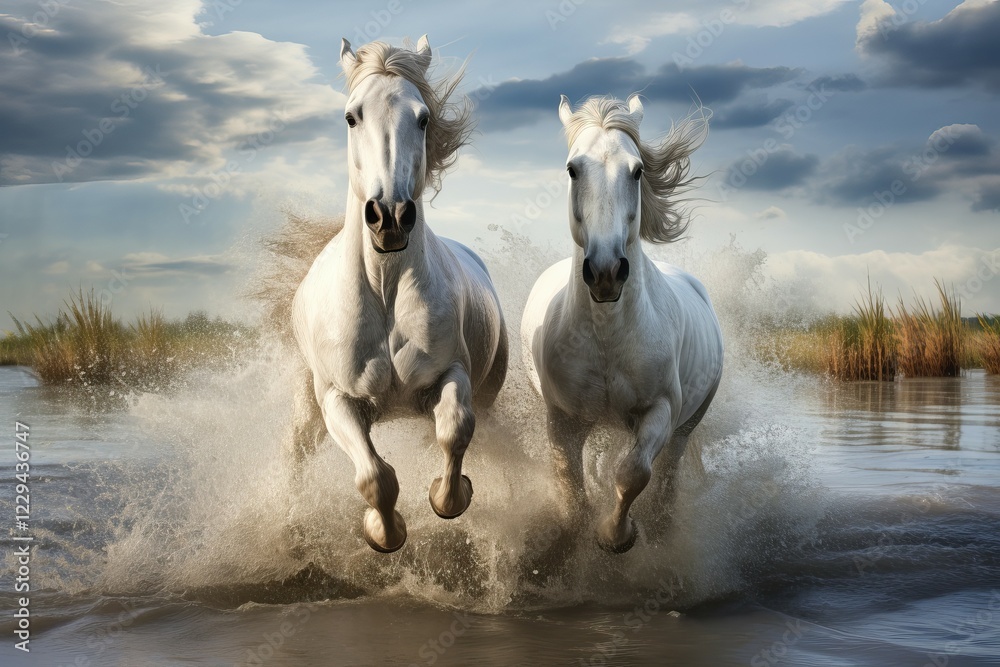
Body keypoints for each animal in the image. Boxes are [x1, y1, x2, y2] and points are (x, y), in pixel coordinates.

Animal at [286, 36, 507, 553]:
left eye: (423, 117)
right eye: (351, 116)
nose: (389, 216)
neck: (385, 292)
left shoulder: (450, 373)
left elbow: (454, 430)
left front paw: (450, 496)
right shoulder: (338, 400)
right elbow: (374, 477)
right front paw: (384, 533)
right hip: (307, 408)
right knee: (295, 454)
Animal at [520, 94, 723, 554]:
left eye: (637, 170)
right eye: (572, 168)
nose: (607, 271)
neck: (607, 338)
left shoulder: (661, 411)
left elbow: (632, 473)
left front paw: (616, 537)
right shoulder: (563, 421)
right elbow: (571, 492)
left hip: (686, 426)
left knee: (666, 475)